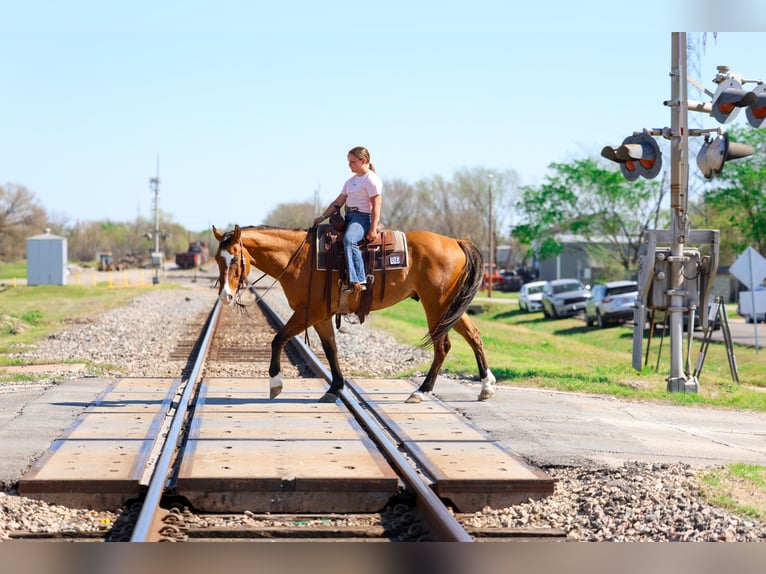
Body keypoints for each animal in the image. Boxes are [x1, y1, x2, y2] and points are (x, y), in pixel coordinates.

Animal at [212, 224, 496, 404]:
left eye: (235, 259)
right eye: (216, 259)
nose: (225, 295)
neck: (299, 258)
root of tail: (457, 242)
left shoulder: (308, 312)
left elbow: (278, 339)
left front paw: (275, 384)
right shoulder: (322, 316)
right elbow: (331, 350)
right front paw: (335, 388)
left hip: (436, 305)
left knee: (442, 346)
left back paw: (422, 391)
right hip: (450, 306)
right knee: (474, 335)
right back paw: (486, 386)